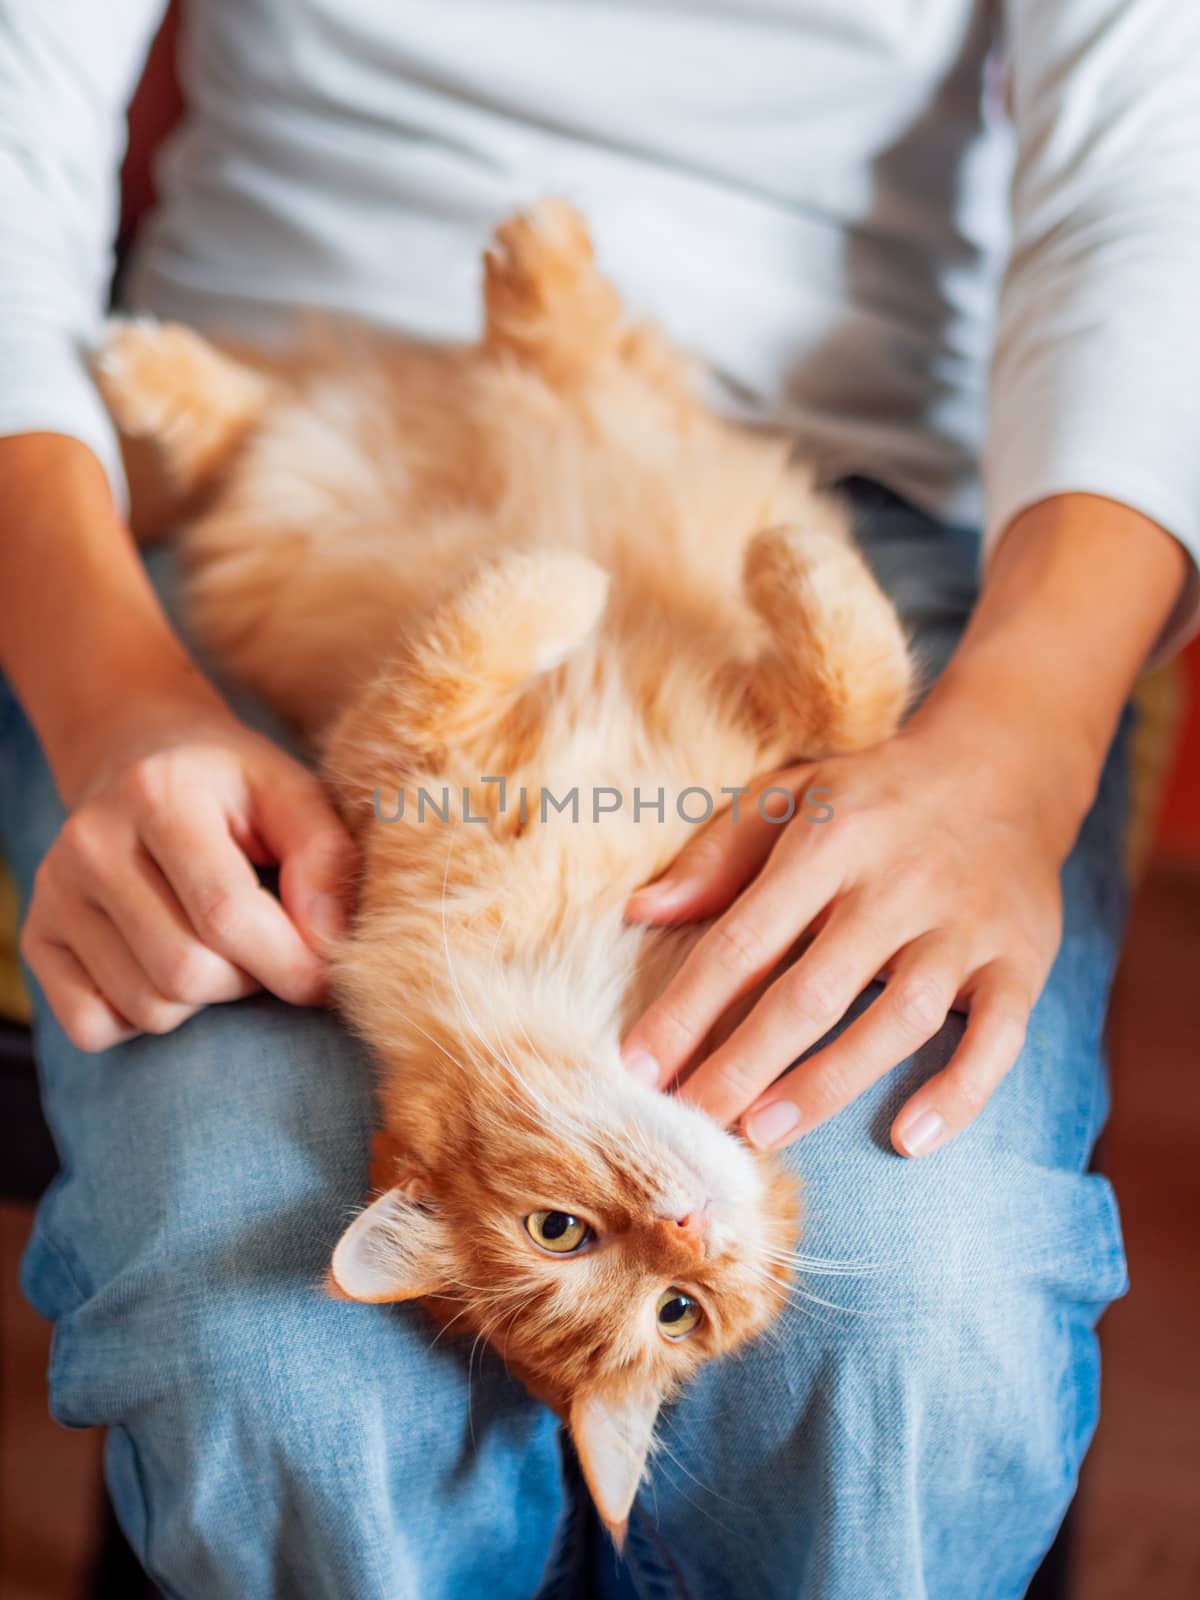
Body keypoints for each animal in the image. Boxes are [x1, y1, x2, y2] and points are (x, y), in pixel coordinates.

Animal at [98, 200, 915, 1536]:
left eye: (678, 1311)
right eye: (563, 1235)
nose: (688, 1232)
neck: (597, 966)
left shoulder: (790, 758)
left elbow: (858, 683)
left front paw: (770, 563)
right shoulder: (391, 757)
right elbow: (486, 622)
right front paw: (572, 578)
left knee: (421, 378)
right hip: (305, 490)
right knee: (272, 419)